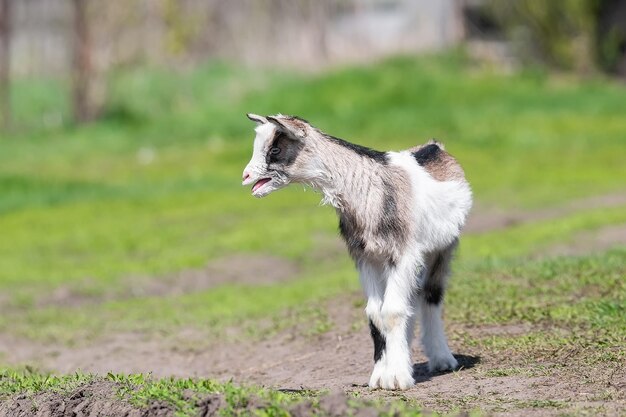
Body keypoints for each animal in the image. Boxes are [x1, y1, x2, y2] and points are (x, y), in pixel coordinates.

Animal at [241, 112, 470, 388]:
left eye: (275, 149)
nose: (245, 176)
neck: (368, 191)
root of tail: (434, 146)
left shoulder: (402, 252)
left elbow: (392, 311)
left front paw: (397, 378)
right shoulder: (365, 257)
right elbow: (375, 313)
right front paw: (381, 375)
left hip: (442, 247)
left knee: (430, 294)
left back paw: (442, 359)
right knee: (411, 299)